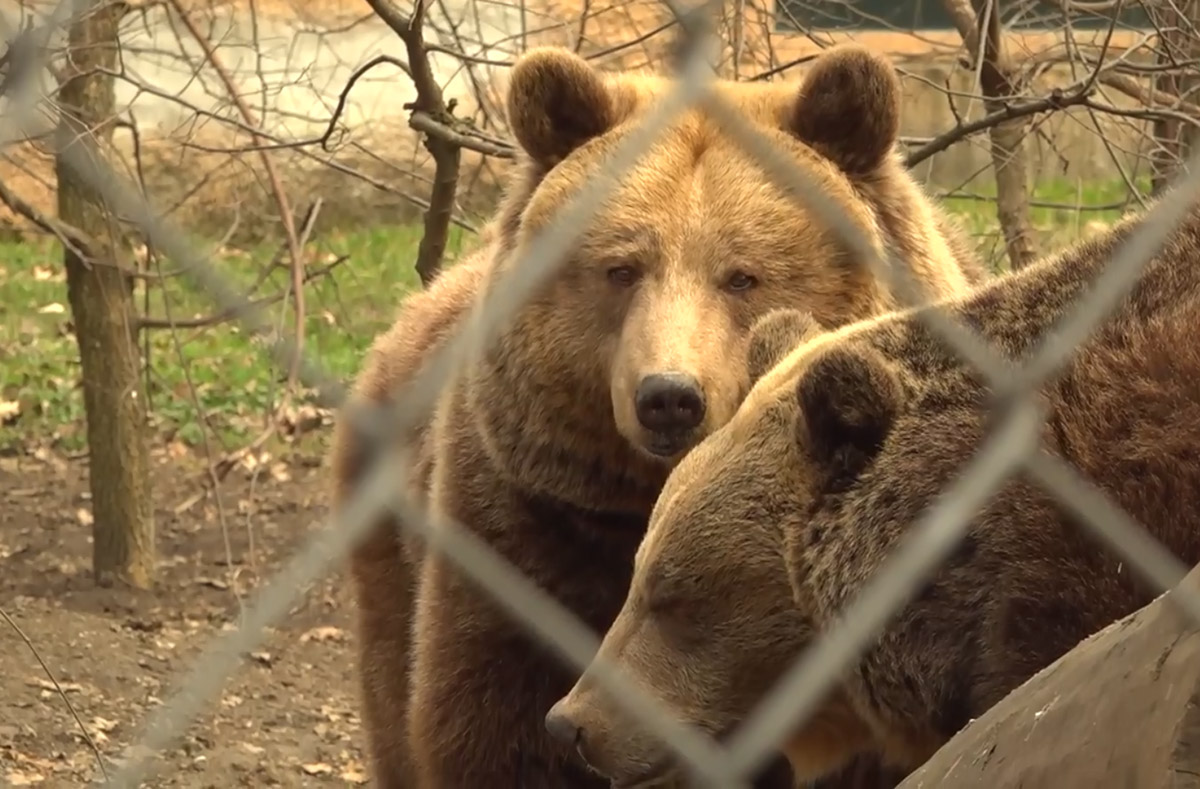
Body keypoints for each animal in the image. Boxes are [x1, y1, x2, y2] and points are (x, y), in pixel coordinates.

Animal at [328, 41, 984, 786]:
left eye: (743, 275)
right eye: (621, 269)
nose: (669, 395)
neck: (646, 498)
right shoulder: (525, 524)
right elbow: (495, 720)